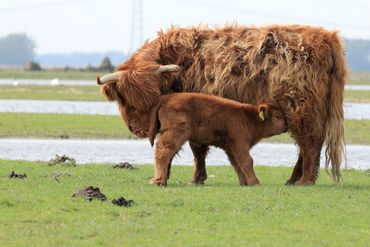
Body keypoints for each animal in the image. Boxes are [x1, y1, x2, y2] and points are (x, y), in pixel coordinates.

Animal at [147, 92, 286, 185]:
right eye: (277, 115)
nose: (286, 125)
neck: (248, 117)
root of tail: (166, 98)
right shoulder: (239, 143)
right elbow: (247, 160)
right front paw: (254, 182)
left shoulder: (231, 148)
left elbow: (236, 163)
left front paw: (244, 182)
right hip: (175, 134)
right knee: (163, 151)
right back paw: (160, 181)